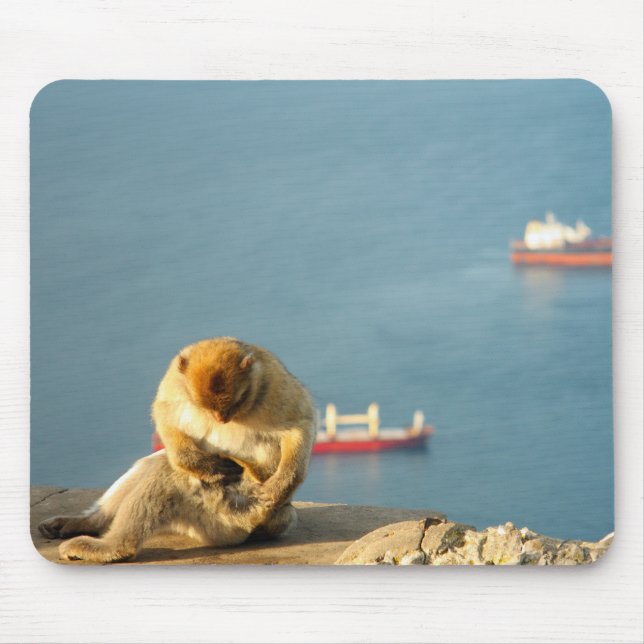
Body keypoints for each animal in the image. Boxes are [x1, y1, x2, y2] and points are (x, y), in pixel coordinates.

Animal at [38, 337, 317, 563]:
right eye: (206, 406)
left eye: (235, 402)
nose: (220, 418)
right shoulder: (173, 377)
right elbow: (165, 413)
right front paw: (200, 463)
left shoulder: (274, 385)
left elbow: (300, 423)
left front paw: (280, 485)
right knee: (158, 461)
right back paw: (87, 523)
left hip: (232, 511)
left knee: (166, 473)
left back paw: (115, 547)